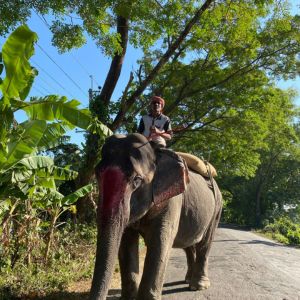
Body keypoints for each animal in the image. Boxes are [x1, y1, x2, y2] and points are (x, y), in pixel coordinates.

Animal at [89, 134, 223, 300]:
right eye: (97, 175)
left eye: (137, 180)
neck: (156, 153)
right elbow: (126, 242)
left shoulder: (171, 200)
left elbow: (160, 240)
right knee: (188, 244)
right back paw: (188, 279)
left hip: (217, 207)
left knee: (205, 242)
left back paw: (198, 286)